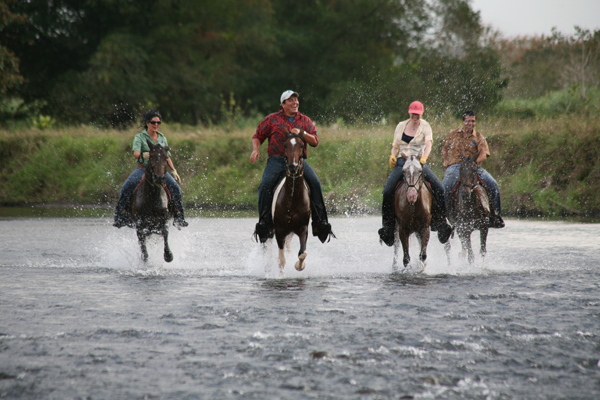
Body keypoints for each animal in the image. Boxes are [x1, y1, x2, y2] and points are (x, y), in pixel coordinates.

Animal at [272, 130, 310, 272]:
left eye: (301, 145)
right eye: (285, 145)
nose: (293, 166)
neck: (292, 200)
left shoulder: (303, 228)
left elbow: (302, 253)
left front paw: (299, 266)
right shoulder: (279, 230)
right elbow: (281, 261)